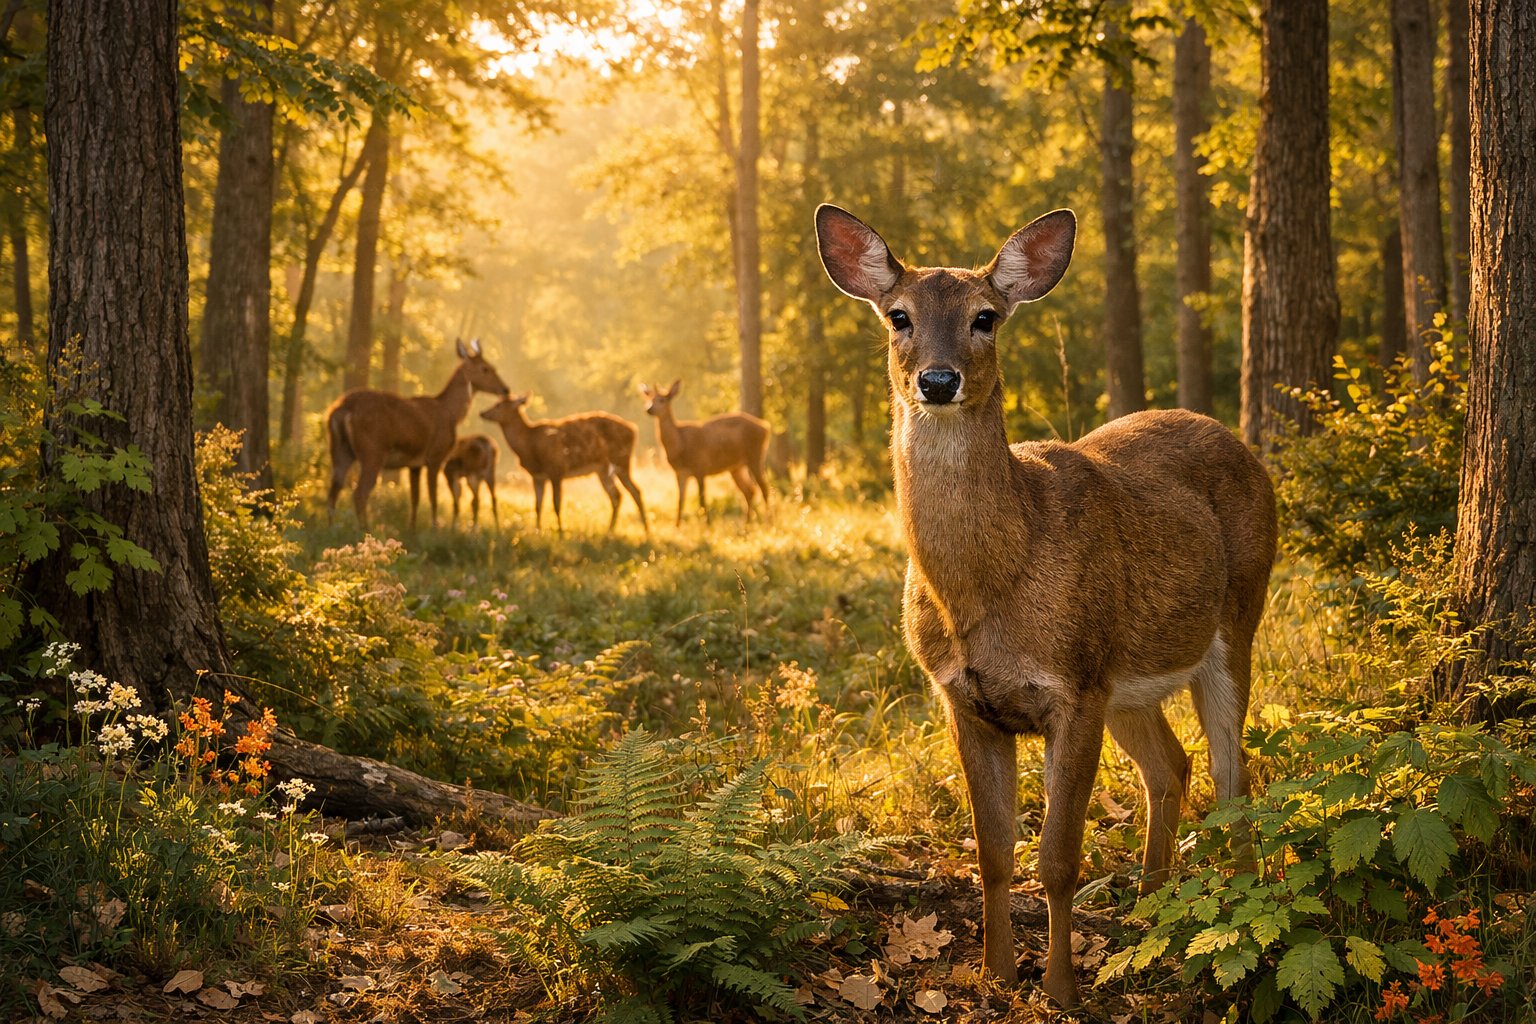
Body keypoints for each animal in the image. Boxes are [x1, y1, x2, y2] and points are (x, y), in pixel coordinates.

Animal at [326, 338, 510, 530]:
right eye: (486, 368)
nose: (505, 389)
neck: (451, 414)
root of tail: (342, 408)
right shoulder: (436, 456)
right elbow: (433, 498)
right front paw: (434, 529)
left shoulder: (414, 464)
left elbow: (415, 499)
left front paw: (412, 529)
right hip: (372, 450)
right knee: (359, 493)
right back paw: (365, 530)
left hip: (340, 449)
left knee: (333, 491)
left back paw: (331, 529)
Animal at [479, 393, 649, 535]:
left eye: (499, 405)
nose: (483, 413)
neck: (529, 445)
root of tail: (634, 429)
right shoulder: (537, 476)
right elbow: (537, 505)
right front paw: (537, 531)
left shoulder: (556, 469)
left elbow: (556, 504)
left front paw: (560, 533)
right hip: (603, 469)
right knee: (618, 495)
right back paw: (613, 531)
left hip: (622, 460)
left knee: (634, 491)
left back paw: (643, 530)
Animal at [639, 380, 771, 527]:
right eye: (649, 399)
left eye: (662, 399)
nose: (649, 409)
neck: (680, 443)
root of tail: (766, 427)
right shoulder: (680, 472)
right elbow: (680, 500)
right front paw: (677, 526)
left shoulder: (701, 466)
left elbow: (702, 500)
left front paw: (707, 525)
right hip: (736, 467)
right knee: (750, 491)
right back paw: (747, 523)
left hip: (756, 455)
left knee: (764, 488)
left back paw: (769, 521)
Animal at [816, 205, 1276, 1007]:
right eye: (899, 315)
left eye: (985, 317)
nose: (939, 380)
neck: (988, 592)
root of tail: (1242, 445)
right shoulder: (964, 700)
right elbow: (994, 853)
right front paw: (995, 975)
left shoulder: (1074, 688)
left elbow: (1059, 858)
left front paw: (1060, 987)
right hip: (1127, 679)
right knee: (1172, 766)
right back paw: (1147, 908)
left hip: (1233, 621)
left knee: (1231, 774)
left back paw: (1238, 914)